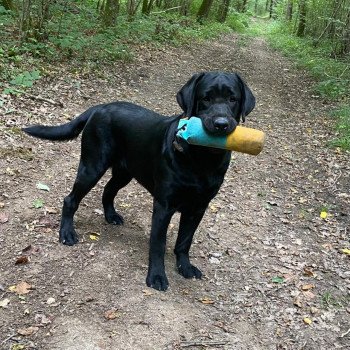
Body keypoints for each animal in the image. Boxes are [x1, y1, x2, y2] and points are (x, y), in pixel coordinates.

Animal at [23, 71, 254, 290]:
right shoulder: (163, 206)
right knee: (70, 200)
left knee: (108, 191)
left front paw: (185, 267)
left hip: (124, 173)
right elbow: (158, 245)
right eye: (205, 98)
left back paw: (111, 216)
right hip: (92, 167)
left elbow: (184, 241)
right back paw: (67, 233)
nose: (221, 124)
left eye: (233, 99)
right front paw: (157, 277)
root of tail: (99, 107)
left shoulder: (198, 207)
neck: (202, 160)